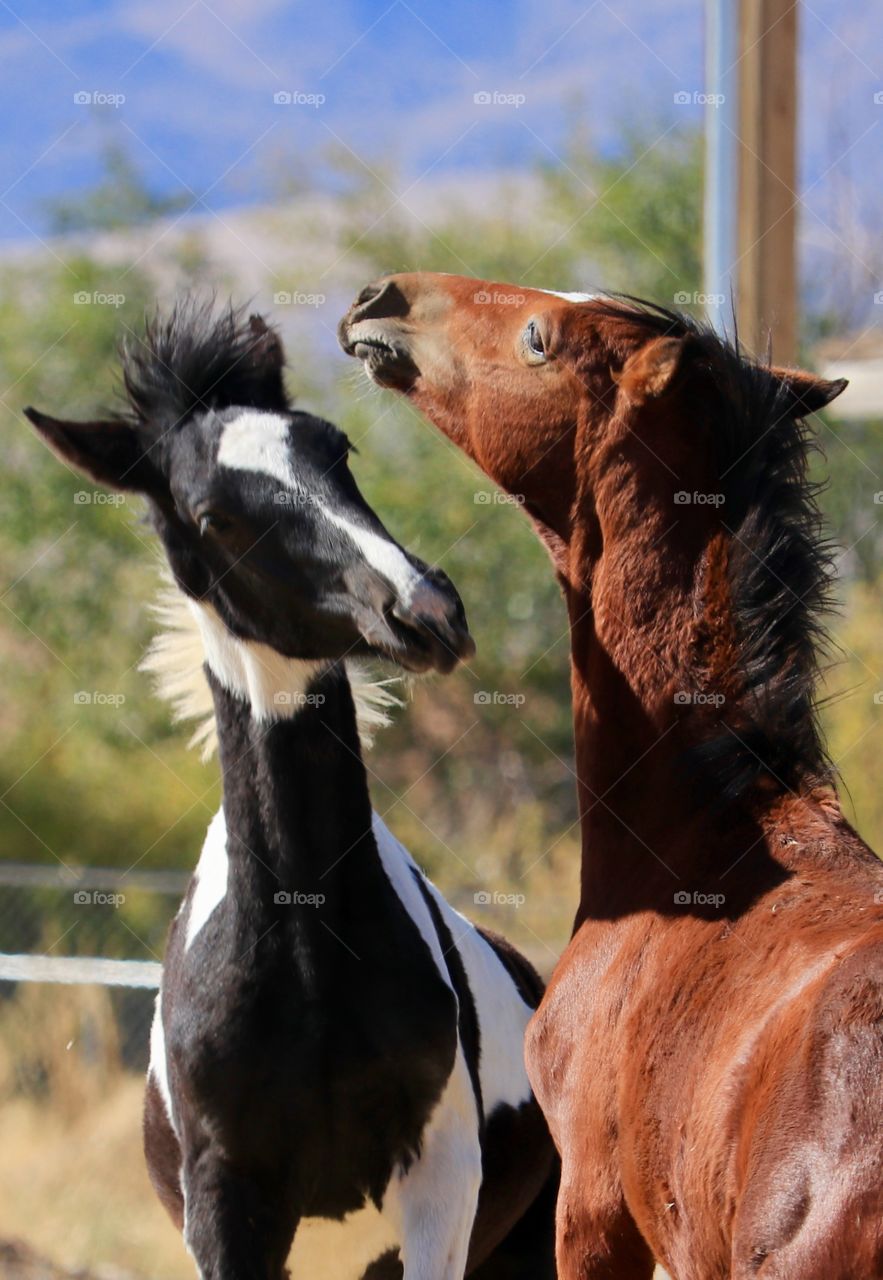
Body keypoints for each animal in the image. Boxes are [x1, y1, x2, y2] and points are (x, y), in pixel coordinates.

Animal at [23, 304, 552, 1280]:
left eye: (336, 448)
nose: (425, 612)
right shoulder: (226, 1205)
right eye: (214, 515)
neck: (305, 958)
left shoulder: (440, 1181)